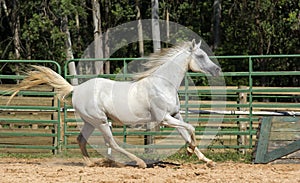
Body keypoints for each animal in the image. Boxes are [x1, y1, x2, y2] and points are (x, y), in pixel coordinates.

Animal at [8, 39, 221, 167]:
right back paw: (137, 162)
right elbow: (191, 128)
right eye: (200, 56)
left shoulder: (175, 115)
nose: (217, 70)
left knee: (81, 139)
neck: (162, 84)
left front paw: (206, 159)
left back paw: (92, 164)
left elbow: (186, 132)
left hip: (90, 122)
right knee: (111, 142)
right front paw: (191, 150)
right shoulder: (164, 119)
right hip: (101, 121)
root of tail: (76, 89)